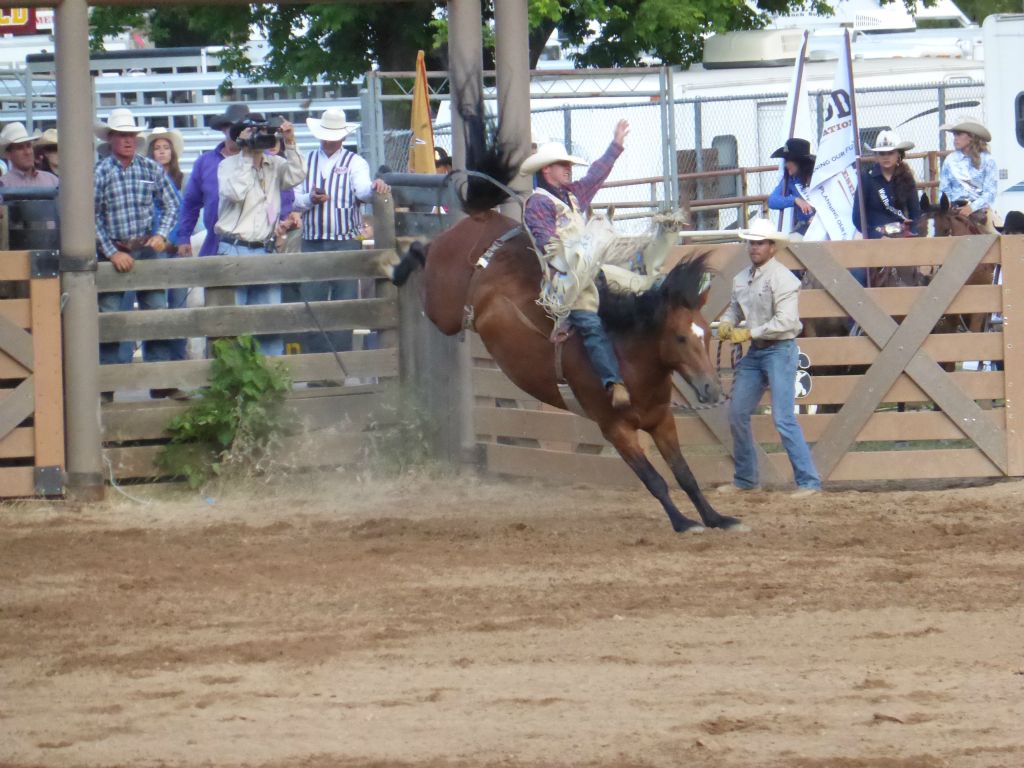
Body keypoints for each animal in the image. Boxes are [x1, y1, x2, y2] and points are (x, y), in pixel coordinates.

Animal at [387, 109, 741, 536]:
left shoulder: (662, 420)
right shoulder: (614, 428)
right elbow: (654, 479)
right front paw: (683, 522)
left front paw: (716, 518)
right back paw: (395, 268)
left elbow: (685, 474)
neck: (628, 357)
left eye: (705, 336)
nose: (710, 389)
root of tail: (484, 219)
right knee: (421, 252)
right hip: (444, 307)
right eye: (679, 338)